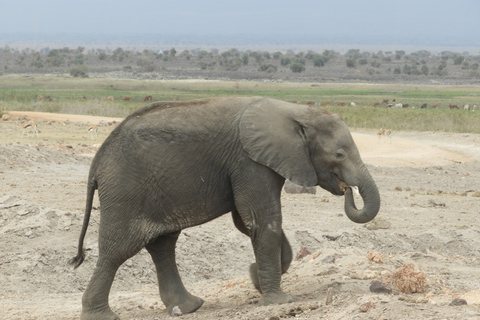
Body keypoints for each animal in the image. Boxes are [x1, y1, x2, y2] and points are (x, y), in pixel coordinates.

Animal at [71, 96, 380, 318]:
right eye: (339, 154)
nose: (347, 189)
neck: (296, 111)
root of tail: (96, 164)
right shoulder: (249, 161)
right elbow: (262, 219)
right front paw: (278, 299)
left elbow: (247, 221)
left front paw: (256, 277)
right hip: (126, 191)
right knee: (118, 250)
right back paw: (101, 315)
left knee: (162, 245)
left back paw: (189, 307)